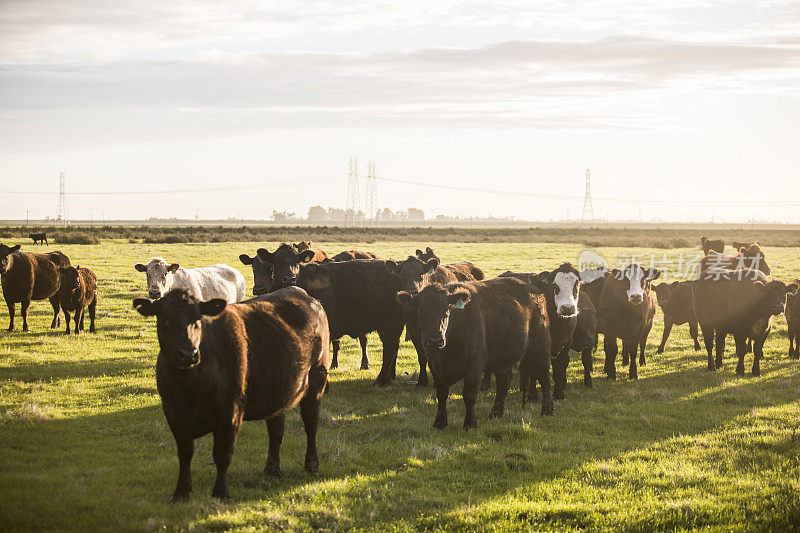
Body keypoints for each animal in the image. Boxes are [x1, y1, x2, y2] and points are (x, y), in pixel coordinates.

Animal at [133, 286, 330, 498]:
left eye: (198, 319)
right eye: (164, 319)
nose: (187, 354)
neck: (189, 386)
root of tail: (304, 294)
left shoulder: (231, 411)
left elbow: (222, 455)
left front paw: (221, 493)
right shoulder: (173, 413)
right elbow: (185, 453)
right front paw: (181, 492)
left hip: (317, 381)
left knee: (311, 425)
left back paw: (311, 465)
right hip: (278, 392)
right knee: (276, 431)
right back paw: (272, 470)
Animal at [256, 249, 406, 382]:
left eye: (297, 262)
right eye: (276, 262)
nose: (289, 278)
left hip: (391, 323)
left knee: (390, 347)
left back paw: (381, 380)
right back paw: (390, 377)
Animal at [386, 255, 484, 384]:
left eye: (422, 274)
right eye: (402, 275)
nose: (412, 292)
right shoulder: (413, 330)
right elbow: (422, 356)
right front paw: (422, 380)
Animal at [396, 276, 552, 426]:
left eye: (447, 310)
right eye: (422, 311)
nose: (435, 340)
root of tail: (534, 290)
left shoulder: (474, 366)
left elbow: (469, 395)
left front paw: (470, 423)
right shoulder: (435, 366)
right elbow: (441, 394)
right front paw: (439, 423)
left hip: (540, 346)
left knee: (544, 377)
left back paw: (547, 410)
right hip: (502, 355)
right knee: (504, 381)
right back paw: (496, 413)